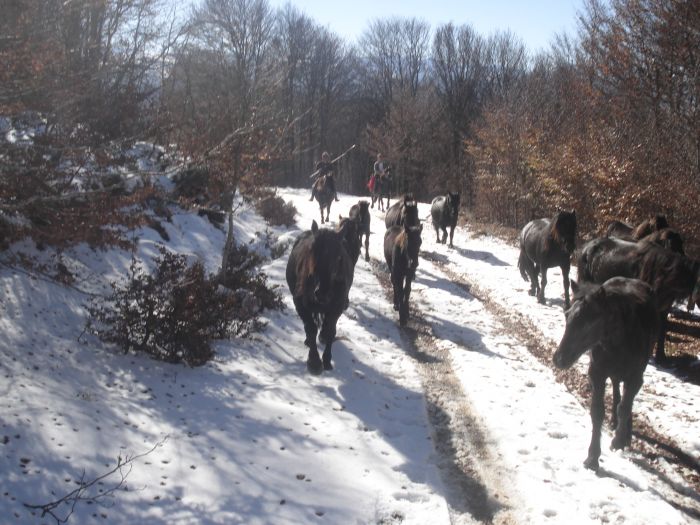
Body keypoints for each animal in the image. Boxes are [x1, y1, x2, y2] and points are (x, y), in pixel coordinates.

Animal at [284, 220, 352, 372]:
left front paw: (326, 359)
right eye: (312, 251)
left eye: (338, 256)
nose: (321, 292)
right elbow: (311, 328)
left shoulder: (337, 307)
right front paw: (314, 361)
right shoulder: (301, 304)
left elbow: (330, 330)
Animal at [552, 278, 656, 470]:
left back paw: (625, 432)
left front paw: (618, 441)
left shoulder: (636, 377)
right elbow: (597, 412)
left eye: (590, 321)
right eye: (567, 314)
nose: (559, 358)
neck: (619, 341)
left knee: (625, 399)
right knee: (616, 386)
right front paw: (592, 458)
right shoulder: (597, 373)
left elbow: (625, 407)